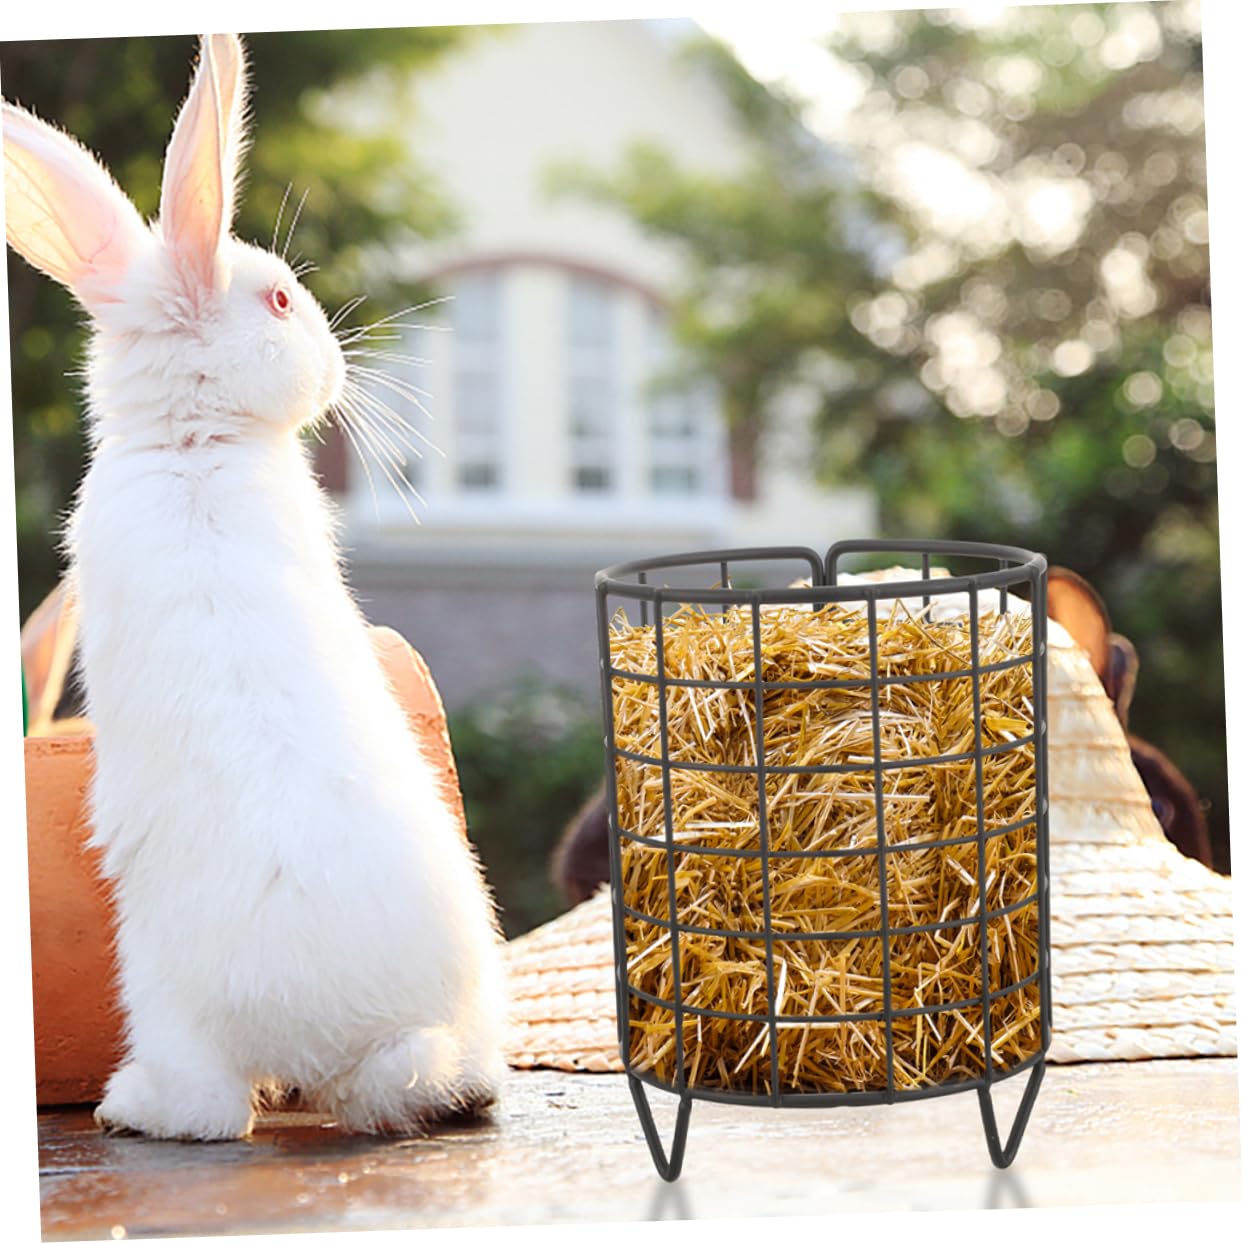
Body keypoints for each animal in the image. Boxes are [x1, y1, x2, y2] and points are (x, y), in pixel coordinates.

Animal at [4, 33, 507, 1140]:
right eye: (279, 300)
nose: (334, 364)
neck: (194, 441)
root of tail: (340, 1039)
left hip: (159, 995)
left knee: (204, 1110)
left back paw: (126, 1108)